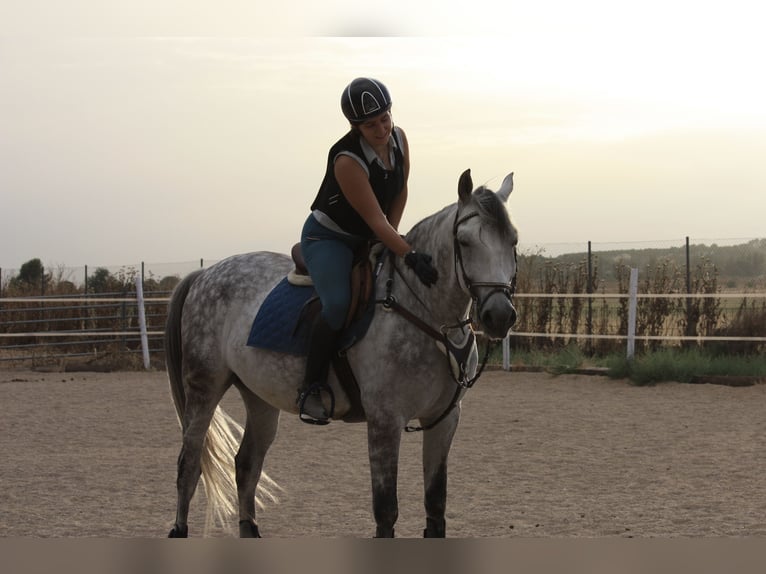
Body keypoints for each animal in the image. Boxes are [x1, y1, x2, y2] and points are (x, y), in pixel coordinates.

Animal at [165, 168, 520, 540]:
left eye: (512, 241)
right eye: (464, 242)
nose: (499, 316)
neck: (427, 315)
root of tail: (205, 273)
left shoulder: (444, 419)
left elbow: (436, 507)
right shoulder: (384, 420)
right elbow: (386, 511)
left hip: (259, 397)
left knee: (247, 464)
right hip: (204, 388)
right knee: (189, 464)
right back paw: (179, 528)